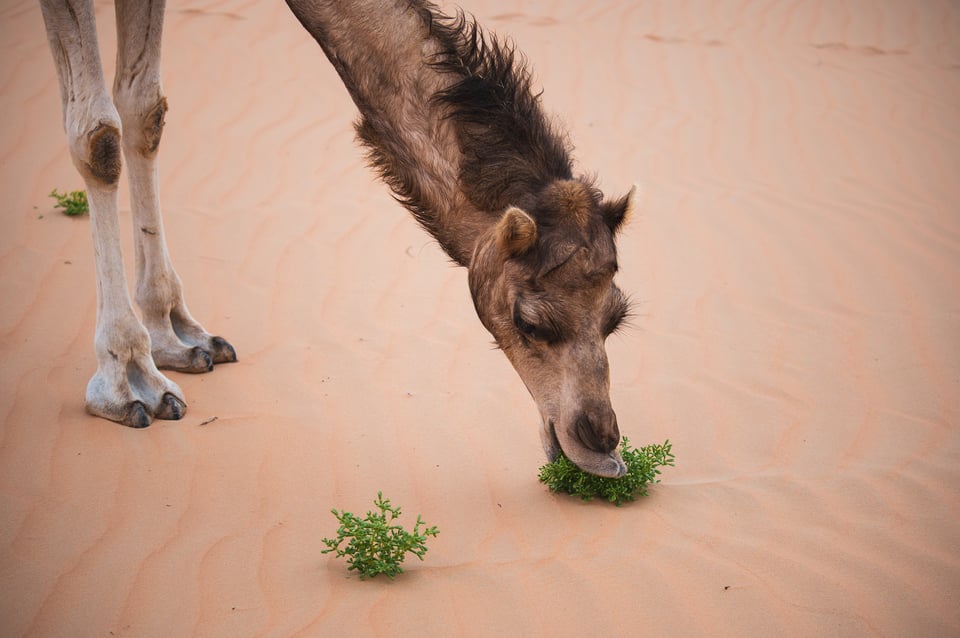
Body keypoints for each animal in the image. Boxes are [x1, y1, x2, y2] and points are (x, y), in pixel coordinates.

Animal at [41, 0, 636, 480]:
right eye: (529, 322)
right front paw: (127, 379)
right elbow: (97, 137)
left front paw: (174, 336)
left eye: (616, 317)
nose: (602, 440)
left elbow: (145, 109)